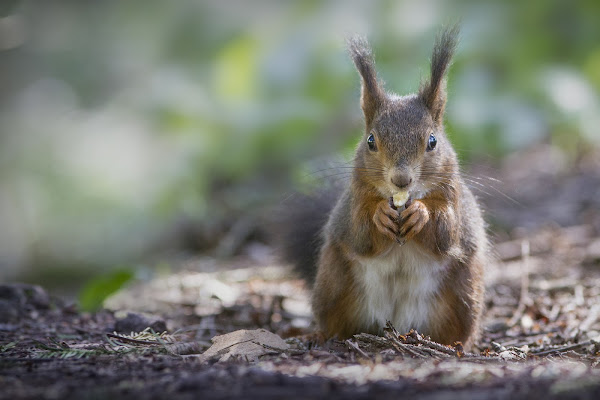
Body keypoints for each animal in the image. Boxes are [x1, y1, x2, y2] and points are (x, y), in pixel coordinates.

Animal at [280, 26, 488, 348]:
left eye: (432, 141)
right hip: (333, 282)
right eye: (370, 141)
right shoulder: (355, 199)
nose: (401, 179)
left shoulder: (451, 196)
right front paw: (380, 216)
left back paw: (455, 345)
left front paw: (421, 214)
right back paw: (319, 334)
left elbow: (446, 233)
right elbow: (361, 234)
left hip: (464, 293)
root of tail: (397, 326)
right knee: (335, 323)